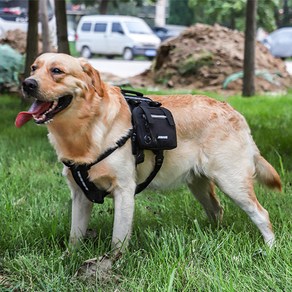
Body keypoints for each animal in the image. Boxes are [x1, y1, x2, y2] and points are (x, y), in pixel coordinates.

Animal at [15, 53, 280, 264]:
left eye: (57, 71)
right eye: (34, 68)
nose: (27, 83)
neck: (85, 130)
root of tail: (234, 111)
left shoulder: (124, 191)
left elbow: (118, 239)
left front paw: (112, 265)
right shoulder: (80, 195)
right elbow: (74, 236)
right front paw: (67, 259)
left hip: (232, 181)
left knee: (262, 214)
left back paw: (269, 250)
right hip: (199, 184)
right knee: (217, 209)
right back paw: (211, 238)